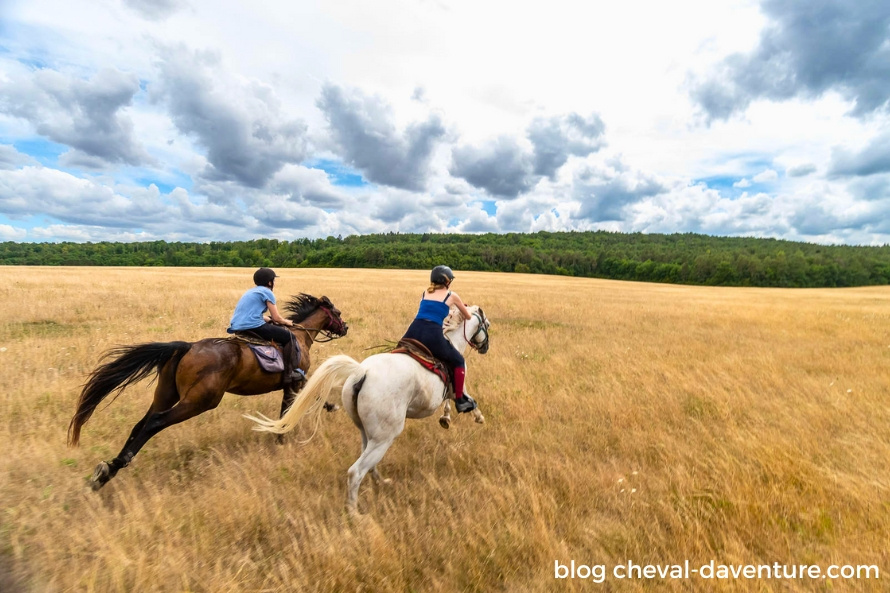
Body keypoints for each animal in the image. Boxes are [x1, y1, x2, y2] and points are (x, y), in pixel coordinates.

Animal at [67, 292, 346, 490]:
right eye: (338, 312)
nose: (345, 328)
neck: (300, 336)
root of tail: (188, 347)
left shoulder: (294, 383)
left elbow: (305, 400)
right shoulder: (295, 381)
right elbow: (297, 404)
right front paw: (281, 437)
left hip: (166, 394)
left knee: (141, 424)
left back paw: (108, 471)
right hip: (200, 401)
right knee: (155, 423)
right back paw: (119, 464)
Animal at [246, 302, 490, 512]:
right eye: (487, 325)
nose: (485, 347)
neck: (452, 340)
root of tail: (361, 372)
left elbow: (451, 401)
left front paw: (446, 418)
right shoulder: (458, 383)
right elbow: (468, 399)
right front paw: (474, 417)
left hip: (367, 431)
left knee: (367, 463)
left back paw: (381, 482)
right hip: (385, 436)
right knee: (356, 472)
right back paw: (354, 513)